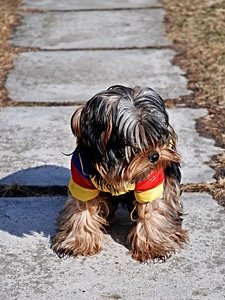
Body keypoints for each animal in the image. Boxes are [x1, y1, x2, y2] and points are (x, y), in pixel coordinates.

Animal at [51, 85, 187, 262]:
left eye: (157, 135)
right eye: (135, 140)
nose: (155, 156)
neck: (118, 165)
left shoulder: (151, 179)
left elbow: (152, 209)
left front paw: (153, 246)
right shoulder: (82, 178)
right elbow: (82, 208)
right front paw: (77, 243)